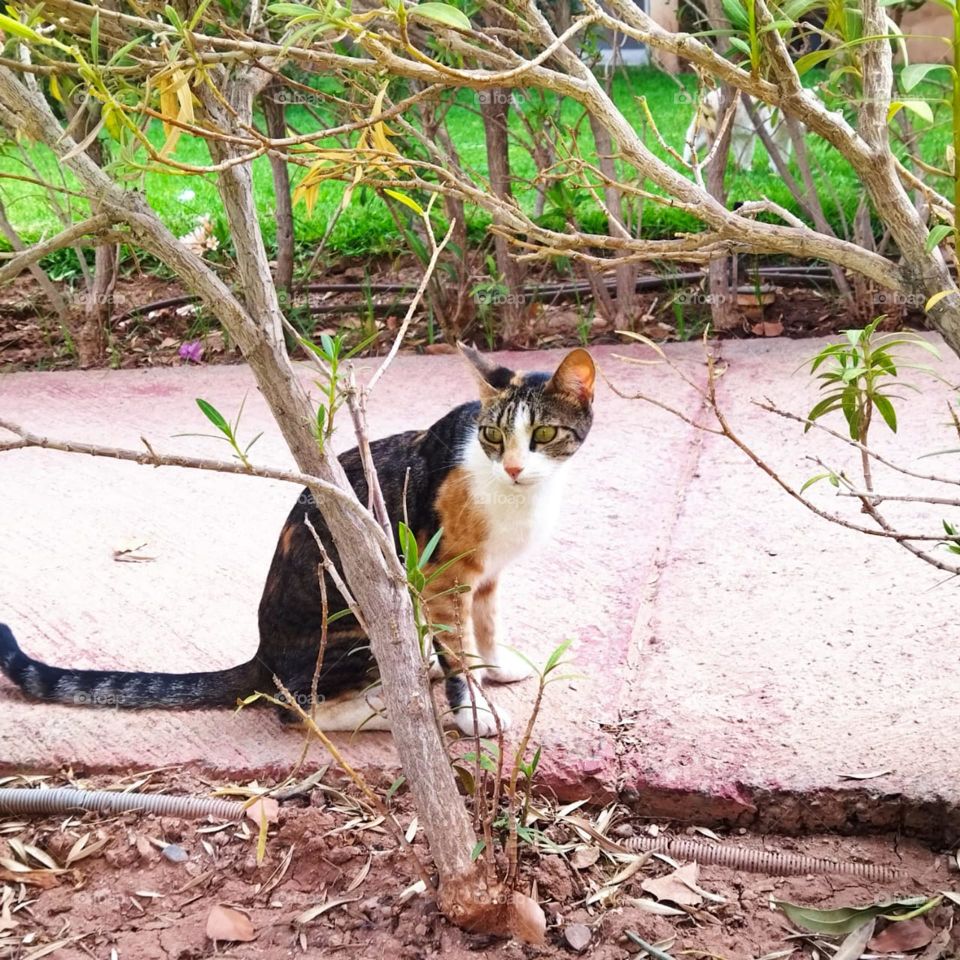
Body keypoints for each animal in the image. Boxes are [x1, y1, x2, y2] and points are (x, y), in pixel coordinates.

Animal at [0, 344, 596, 736]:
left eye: (543, 434)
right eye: (493, 435)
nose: (514, 467)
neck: (518, 496)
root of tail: (263, 654)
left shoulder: (486, 576)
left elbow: (486, 626)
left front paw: (496, 668)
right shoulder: (442, 578)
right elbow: (458, 653)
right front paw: (472, 712)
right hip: (361, 620)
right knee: (297, 708)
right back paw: (388, 709)